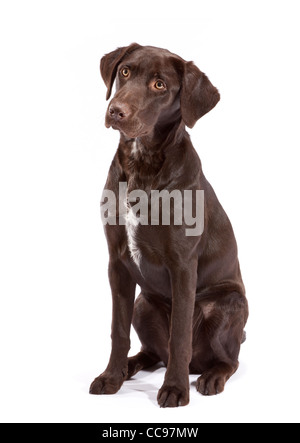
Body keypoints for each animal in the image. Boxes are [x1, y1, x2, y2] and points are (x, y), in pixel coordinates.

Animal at [89, 43, 248, 408]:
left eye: (160, 85)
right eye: (125, 72)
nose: (116, 111)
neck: (142, 164)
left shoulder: (182, 264)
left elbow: (180, 336)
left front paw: (175, 388)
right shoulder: (116, 263)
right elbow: (117, 331)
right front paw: (111, 376)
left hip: (228, 305)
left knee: (228, 360)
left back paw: (210, 377)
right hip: (143, 305)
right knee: (152, 352)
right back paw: (130, 367)